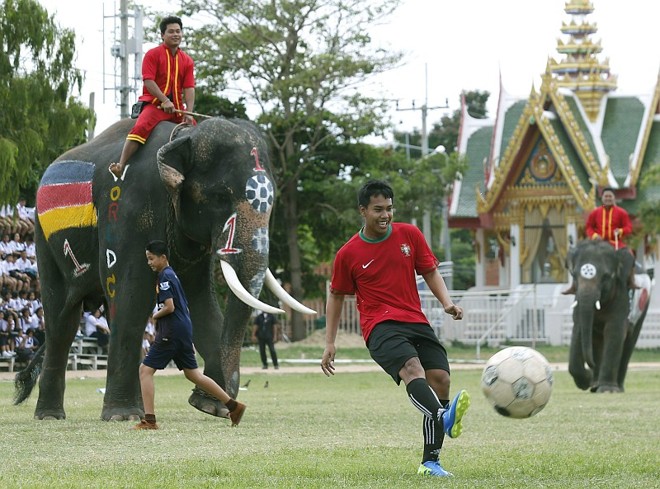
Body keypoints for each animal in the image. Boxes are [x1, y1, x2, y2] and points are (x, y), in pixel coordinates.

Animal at [14, 117, 314, 420]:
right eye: (220, 196)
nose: (229, 402)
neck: (184, 135)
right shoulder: (125, 211)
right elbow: (132, 298)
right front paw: (122, 416)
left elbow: (199, 304)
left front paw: (209, 407)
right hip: (45, 241)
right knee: (63, 321)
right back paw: (50, 416)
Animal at [565, 239, 651, 393]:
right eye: (574, 276)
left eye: (606, 277)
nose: (590, 368)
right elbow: (578, 329)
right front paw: (587, 381)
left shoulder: (622, 294)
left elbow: (614, 331)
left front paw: (607, 390)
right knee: (597, 341)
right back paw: (595, 385)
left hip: (643, 307)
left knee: (628, 342)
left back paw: (616, 387)